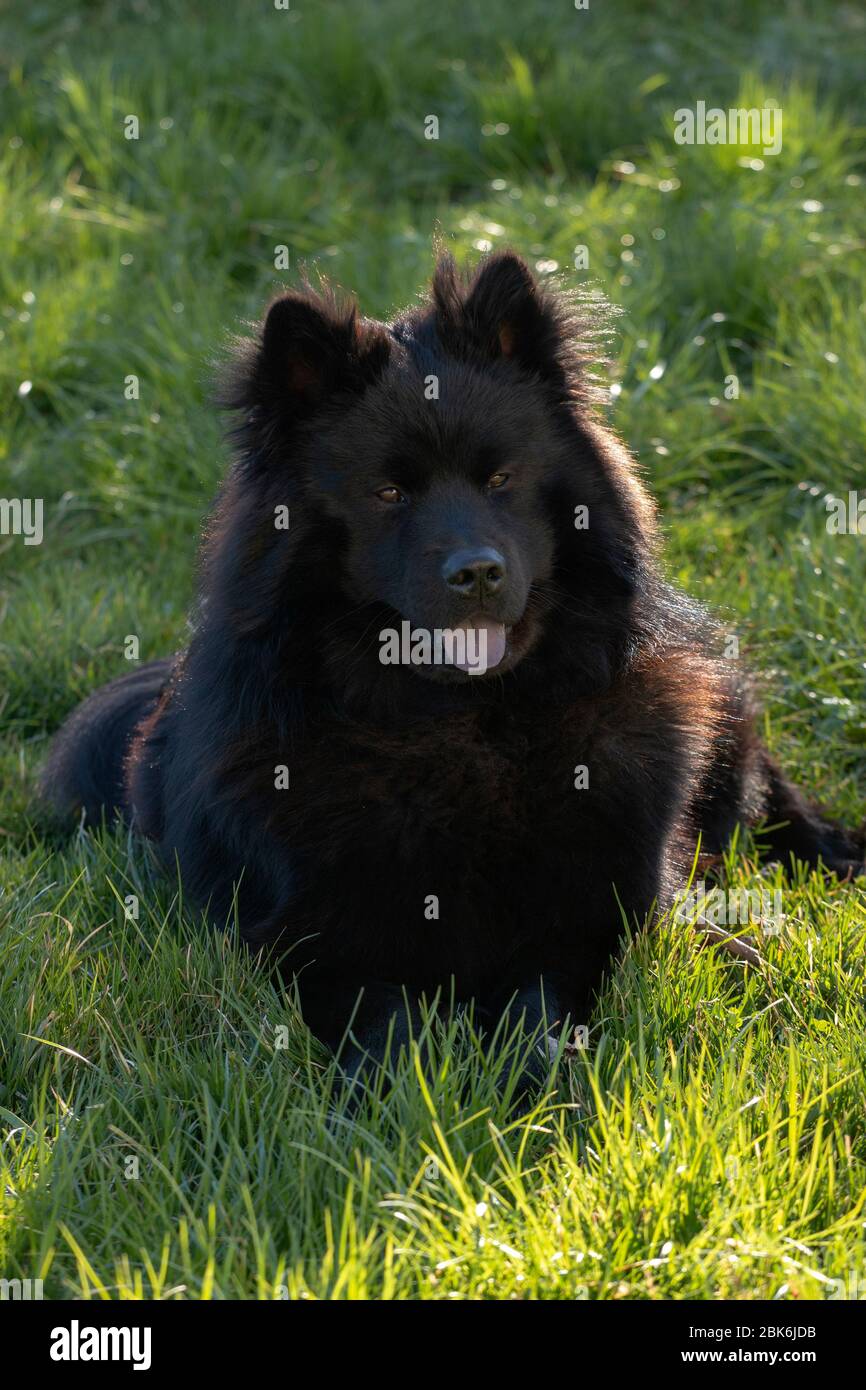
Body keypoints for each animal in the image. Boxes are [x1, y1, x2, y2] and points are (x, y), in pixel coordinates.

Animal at [42, 258, 866, 1084]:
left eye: (500, 479)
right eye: (389, 493)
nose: (477, 573)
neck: (463, 728)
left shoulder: (586, 925)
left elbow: (539, 1009)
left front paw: (533, 1091)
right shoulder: (309, 945)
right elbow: (387, 1022)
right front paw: (407, 1096)